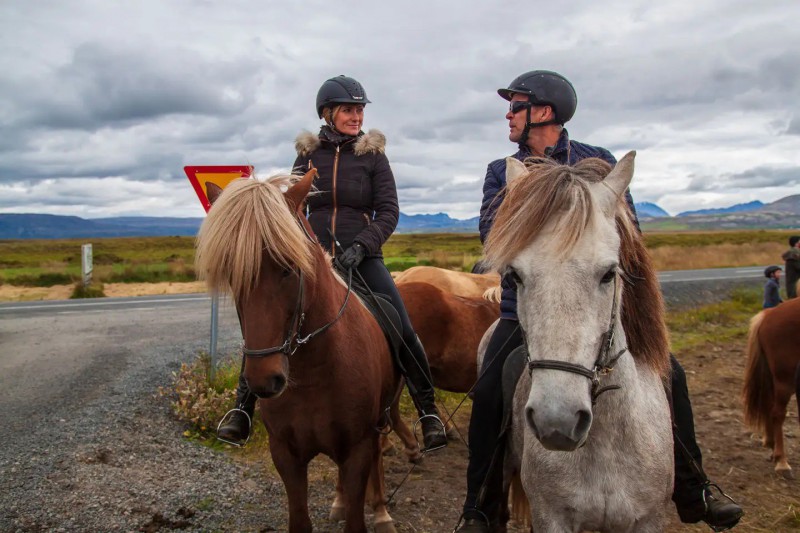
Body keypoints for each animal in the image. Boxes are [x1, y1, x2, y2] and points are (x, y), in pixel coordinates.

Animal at [195, 168, 400, 528]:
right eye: (233, 274)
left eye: (290, 268)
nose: (264, 380)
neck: (313, 371)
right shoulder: (285, 455)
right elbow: (300, 519)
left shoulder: (357, 449)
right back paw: (339, 501)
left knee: (378, 454)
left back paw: (381, 512)